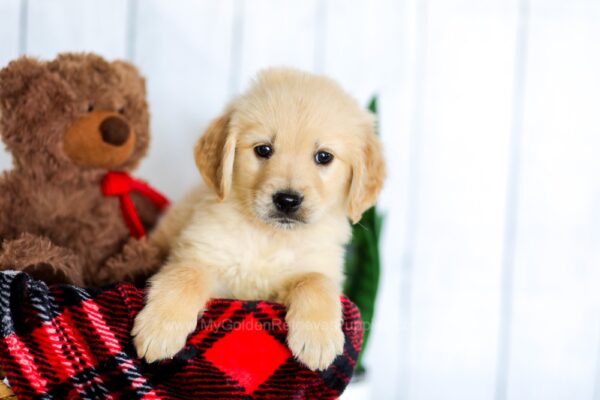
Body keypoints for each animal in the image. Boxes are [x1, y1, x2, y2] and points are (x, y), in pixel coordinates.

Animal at [131, 69, 384, 372]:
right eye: (263, 149)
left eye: (324, 156)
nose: (287, 200)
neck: (269, 236)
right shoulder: (201, 255)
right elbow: (186, 274)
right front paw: (159, 328)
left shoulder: (319, 266)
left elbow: (316, 281)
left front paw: (318, 339)